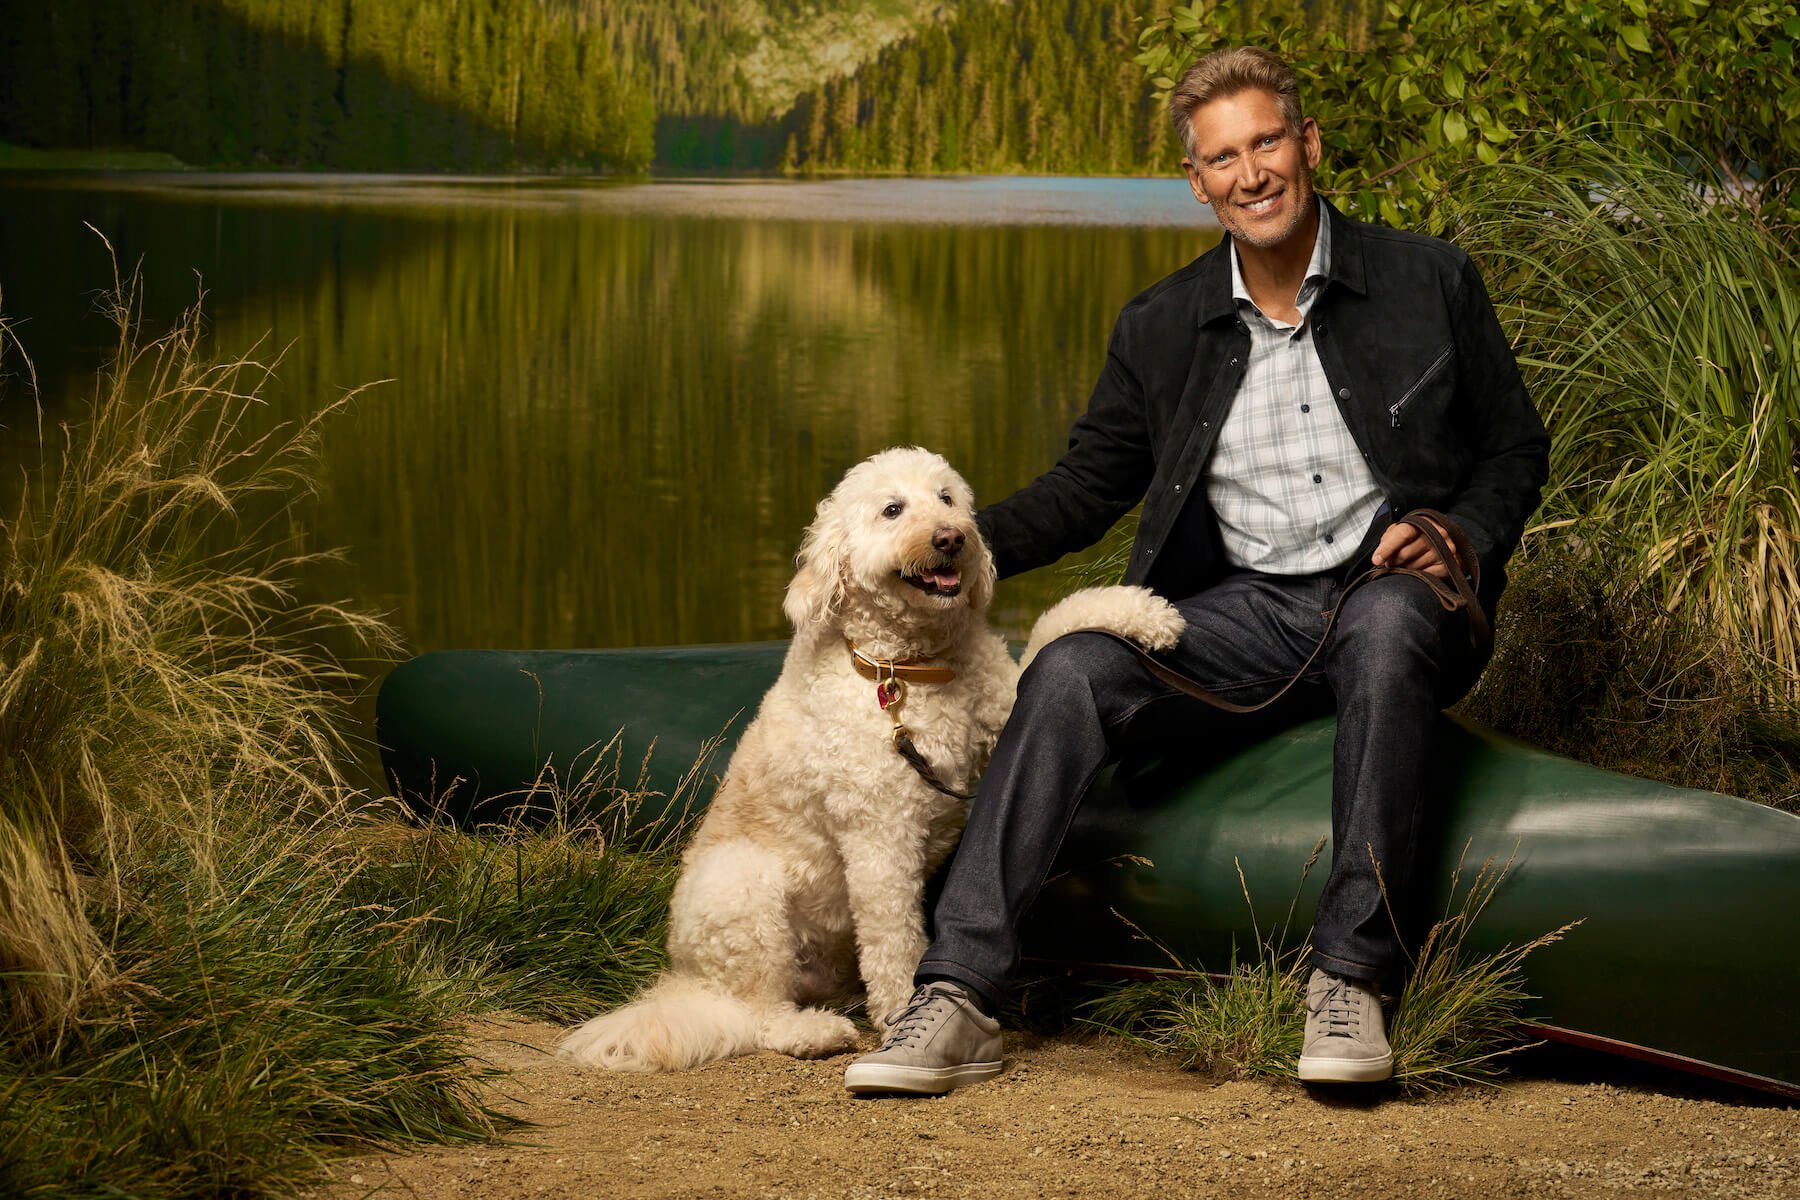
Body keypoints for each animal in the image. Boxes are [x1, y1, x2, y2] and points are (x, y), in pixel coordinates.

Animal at [561, 444, 1180, 1072]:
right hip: (742, 890)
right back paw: (812, 1032)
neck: (909, 668)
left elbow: (1057, 625)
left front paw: (1143, 614)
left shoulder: (1010, 704)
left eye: (947, 498)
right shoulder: (880, 836)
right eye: (892, 509)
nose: (952, 537)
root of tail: (689, 980)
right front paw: (903, 1010)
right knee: (758, 1012)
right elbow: (894, 936)